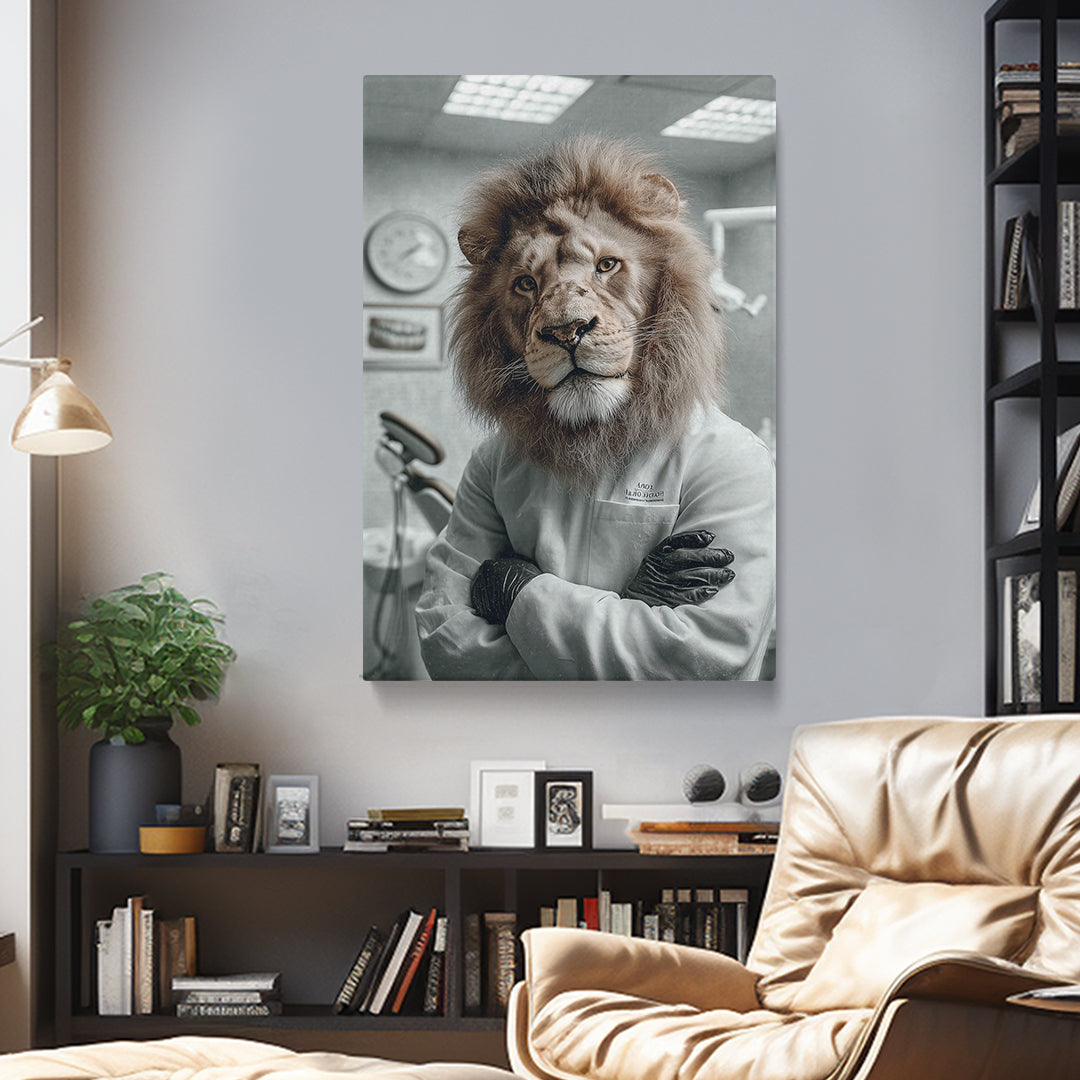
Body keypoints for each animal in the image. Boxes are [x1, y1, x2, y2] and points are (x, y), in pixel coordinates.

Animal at [415, 137, 775, 681]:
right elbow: (451, 594)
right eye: (525, 283)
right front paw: (505, 577)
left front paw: (658, 582)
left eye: (607, 265)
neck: (593, 433)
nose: (566, 331)